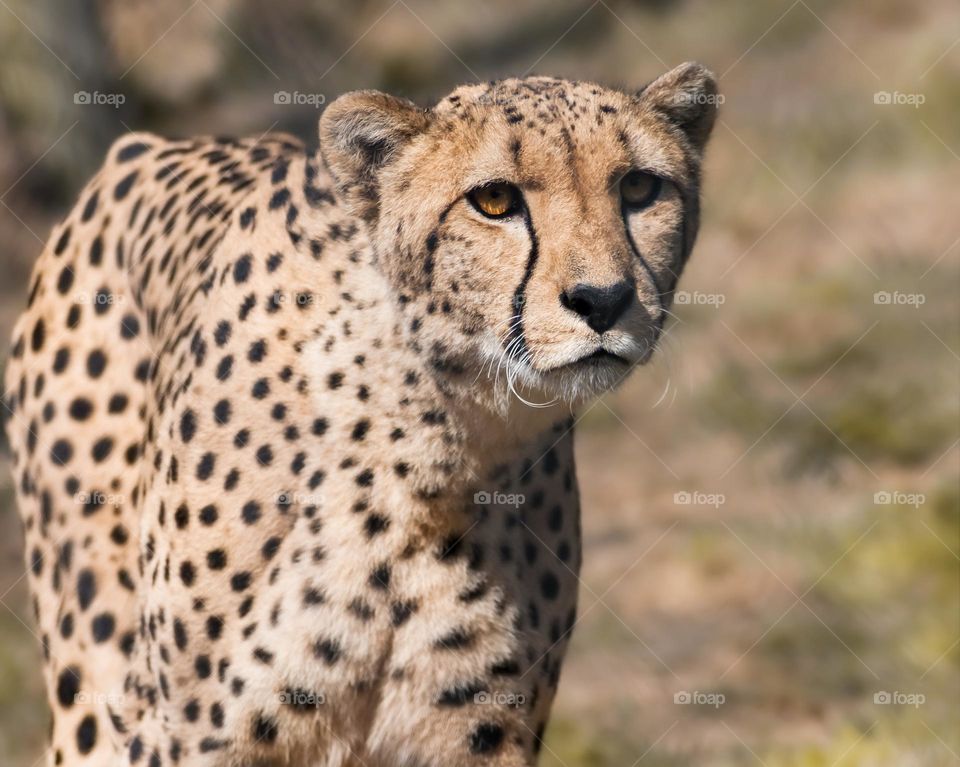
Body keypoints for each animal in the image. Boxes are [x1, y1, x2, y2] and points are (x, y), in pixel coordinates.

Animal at [2, 62, 717, 766]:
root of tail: (149, 147)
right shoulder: (185, 735)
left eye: (639, 187)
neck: (434, 450)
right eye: (494, 201)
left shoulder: (480, 734)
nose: (602, 299)